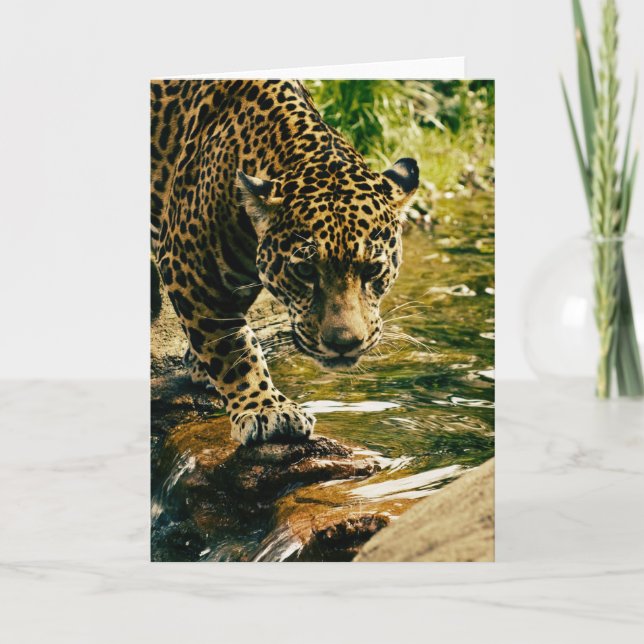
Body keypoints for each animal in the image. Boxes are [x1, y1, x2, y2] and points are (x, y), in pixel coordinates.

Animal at [151, 79, 419, 445]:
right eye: (305, 270)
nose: (344, 345)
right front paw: (266, 408)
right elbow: (233, 346)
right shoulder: (189, 263)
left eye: (372, 270)